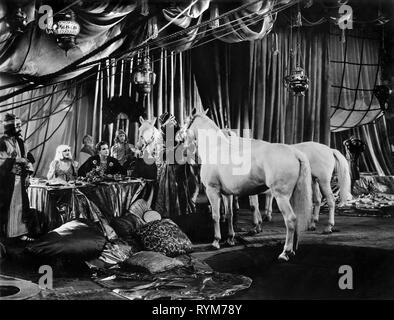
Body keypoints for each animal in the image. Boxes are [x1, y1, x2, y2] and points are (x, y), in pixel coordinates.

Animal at [179, 109, 314, 260]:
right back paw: (293, 250)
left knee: (290, 219)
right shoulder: (227, 194)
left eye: (186, 123)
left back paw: (285, 252)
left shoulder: (212, 191)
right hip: (293, 195)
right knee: (297, 219)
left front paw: (216, 241)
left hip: (281, 196)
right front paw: (230, 239)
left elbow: (215, 216)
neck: (216, 148)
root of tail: (295, 153)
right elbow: (229, 214)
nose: (182, 147)